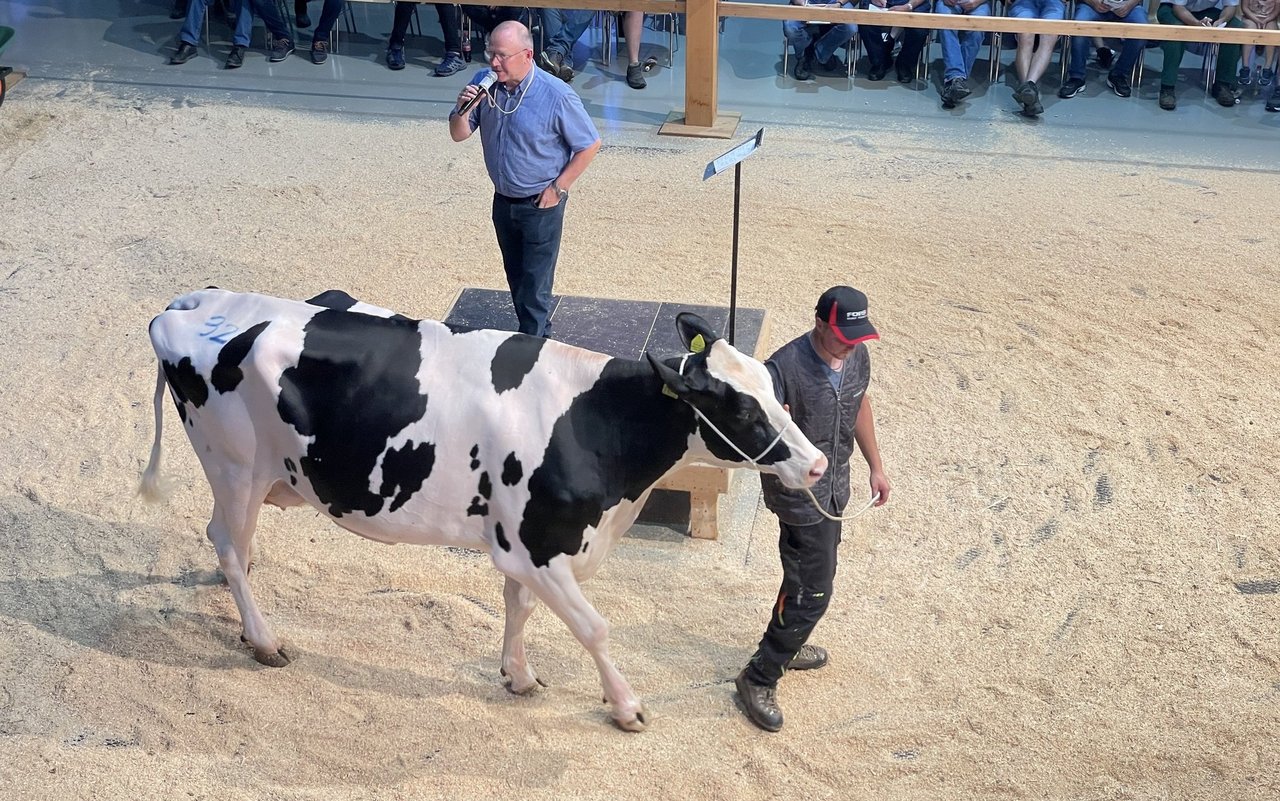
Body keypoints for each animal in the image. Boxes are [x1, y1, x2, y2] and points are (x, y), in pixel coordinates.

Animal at [137, 287, 819, 731]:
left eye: (773, 388)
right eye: (744, 410)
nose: (815, 465)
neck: (593, 422)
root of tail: (192, 302)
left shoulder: (520, 543)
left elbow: (519, 608)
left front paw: (518, 676)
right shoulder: (542, 547)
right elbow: (593, 627)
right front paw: (626, 706)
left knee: (231, 545)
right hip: (234, 466)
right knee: (227, 542)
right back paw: (264, 639)